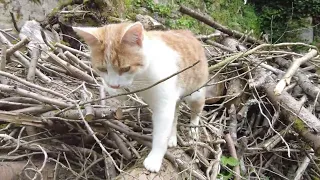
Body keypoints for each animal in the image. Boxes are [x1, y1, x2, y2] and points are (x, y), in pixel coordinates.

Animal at [73, 21, 209, 172]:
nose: (114, 85)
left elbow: (161, 133)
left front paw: (155, 158)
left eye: (125, 68)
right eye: (102, 69)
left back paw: (193, 129)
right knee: (175, 114)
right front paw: (110, 88)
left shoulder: (164, 105)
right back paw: (172, 137)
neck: (141, 76)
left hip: (195, 92)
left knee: (196, 110)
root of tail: (187, 32)